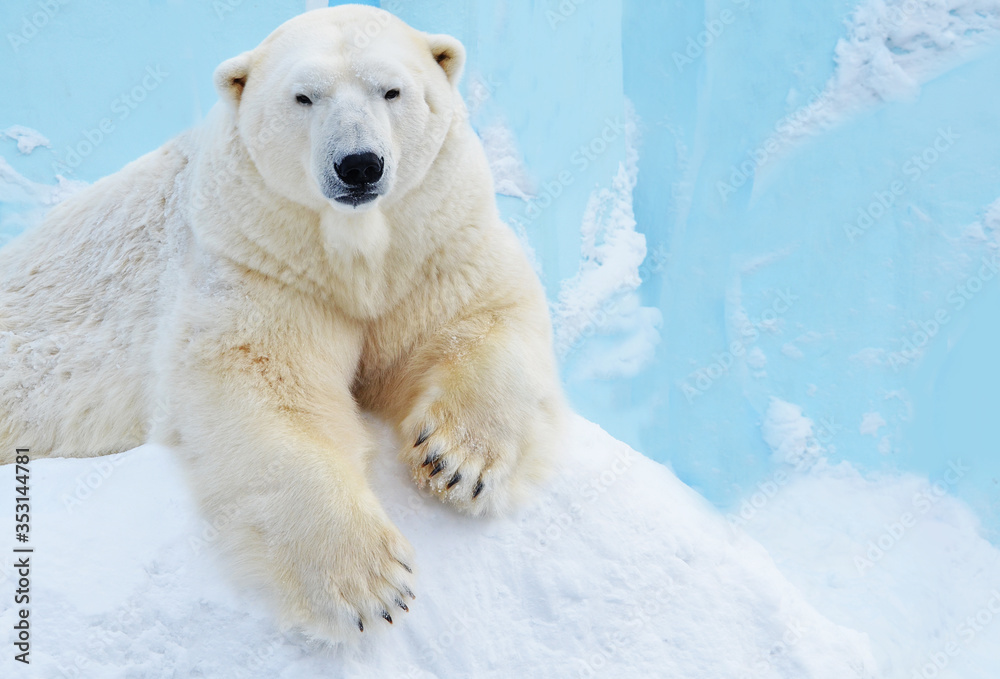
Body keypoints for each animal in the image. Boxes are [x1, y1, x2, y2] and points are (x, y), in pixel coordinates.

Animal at [0, 5, 564, 640]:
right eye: (303, 96)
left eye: (392, 90)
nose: (359, 165)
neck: (348, 255)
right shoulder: (257, 259)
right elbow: (265, 385)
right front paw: (368, 582)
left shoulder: (432, 243)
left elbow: (480, 313)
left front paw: (455, 462)